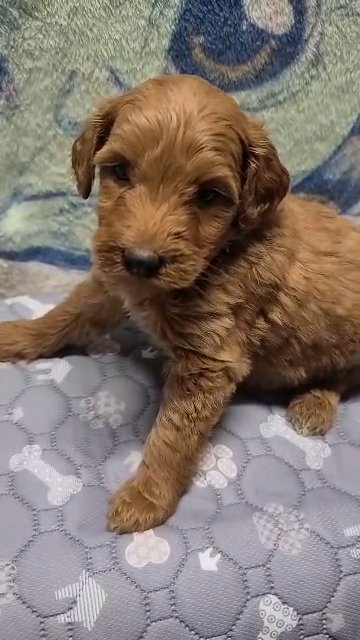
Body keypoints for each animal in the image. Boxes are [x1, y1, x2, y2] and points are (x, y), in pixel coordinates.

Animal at [0, 76, 360, 536]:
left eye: (209, 195)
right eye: (119, 171)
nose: (141, 261)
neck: (222, 254)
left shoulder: (210, 360)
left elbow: (173, 434)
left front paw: (145, 497)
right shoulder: (112, 286)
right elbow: (64, 316)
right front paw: (15, 335)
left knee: (345, 376)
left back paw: (314, 401)